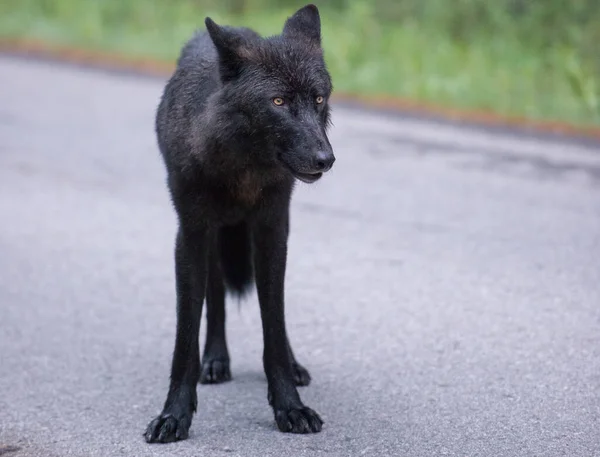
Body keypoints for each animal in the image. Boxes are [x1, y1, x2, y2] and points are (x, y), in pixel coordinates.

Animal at [144, 4, 336, 442]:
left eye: (318, 98)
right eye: (278, 101)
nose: (326, 159)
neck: (241, 167)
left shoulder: (271, 232)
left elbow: (273, 322)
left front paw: (290, 406)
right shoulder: (191, 235)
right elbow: (185, 336)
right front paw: (174, 414)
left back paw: (292, 366)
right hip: (214, 237)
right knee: (215, 298)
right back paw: (215, 360)